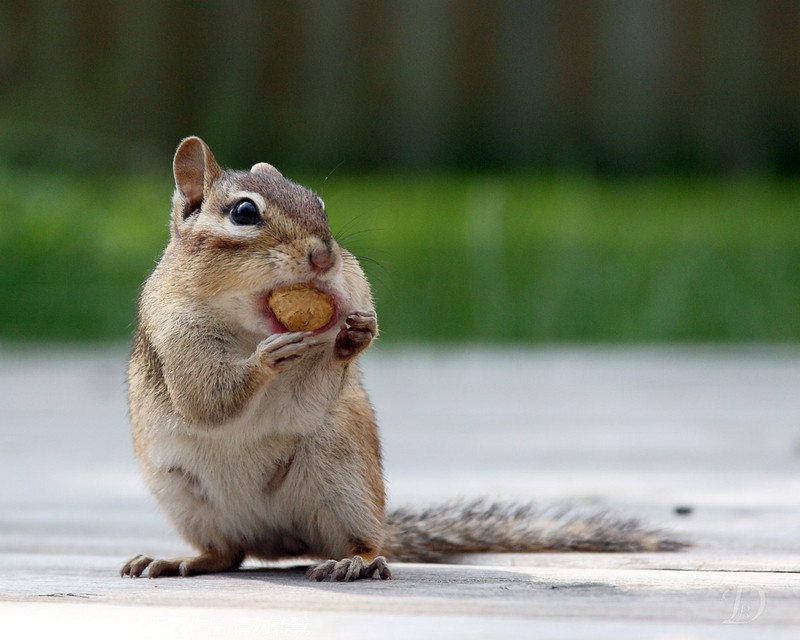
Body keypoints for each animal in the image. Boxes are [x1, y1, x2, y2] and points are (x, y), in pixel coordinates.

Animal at [121, 137, 683, 582]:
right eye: (243, 213)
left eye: (318, 201)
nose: (326, 257)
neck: (246, 323)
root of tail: (277, 540)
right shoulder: (175, 334)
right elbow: (206, 397)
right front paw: (268, 358)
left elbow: (316, 387)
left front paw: (355, 338)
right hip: (188, 500)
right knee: (227, 553)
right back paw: (177, 561)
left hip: (344, 479)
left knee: (364, 543)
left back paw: (353, 561)